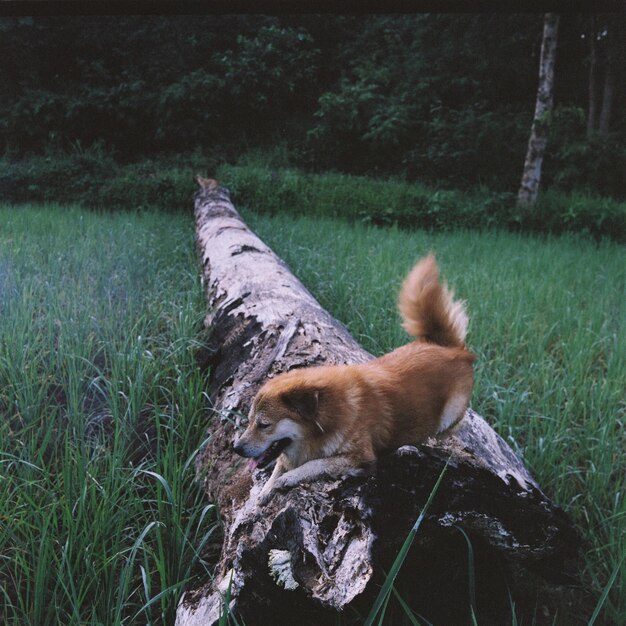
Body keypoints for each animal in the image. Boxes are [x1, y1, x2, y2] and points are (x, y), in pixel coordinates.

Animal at [233, 254, 472, 502]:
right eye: (249, 420)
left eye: (264, 425)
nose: (236, 448)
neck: (327, 417)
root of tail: (449, 347)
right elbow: (280, 463)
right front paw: (266, 489)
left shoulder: (360, 457)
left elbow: (317, 463)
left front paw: (288, 478)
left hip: (449, 415)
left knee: (448, 429)